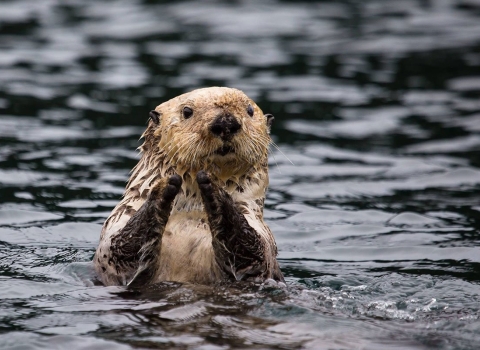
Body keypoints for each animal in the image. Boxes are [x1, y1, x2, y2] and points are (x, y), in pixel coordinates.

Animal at [94, 87, 284, 288]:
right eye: (186, 111)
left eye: (250, 110)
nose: (225, 122)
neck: (191, 210)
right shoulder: (116, 227)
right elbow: (121, 248)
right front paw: (163, 187)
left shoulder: (262, 235)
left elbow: (252, 251)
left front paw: (212, 186)